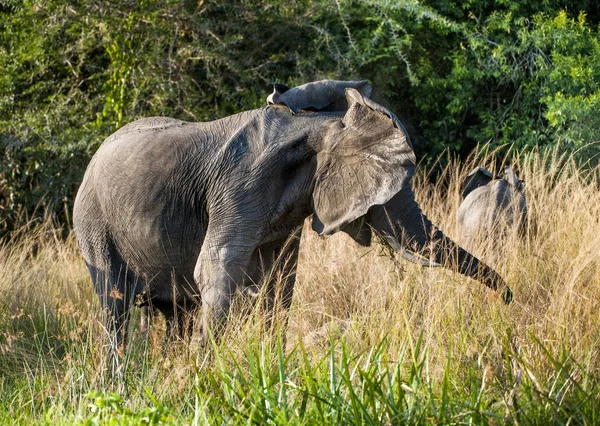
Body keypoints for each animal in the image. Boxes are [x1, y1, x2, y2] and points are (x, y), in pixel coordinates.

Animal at [72, 79, 512, 346]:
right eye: (388, 195)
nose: (508, 299)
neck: (320, 124)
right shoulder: (239, 185)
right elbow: (215, 268)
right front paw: (202, 378)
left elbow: (281, 280)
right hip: (91, 223)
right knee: (114, 308)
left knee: (174, 313)